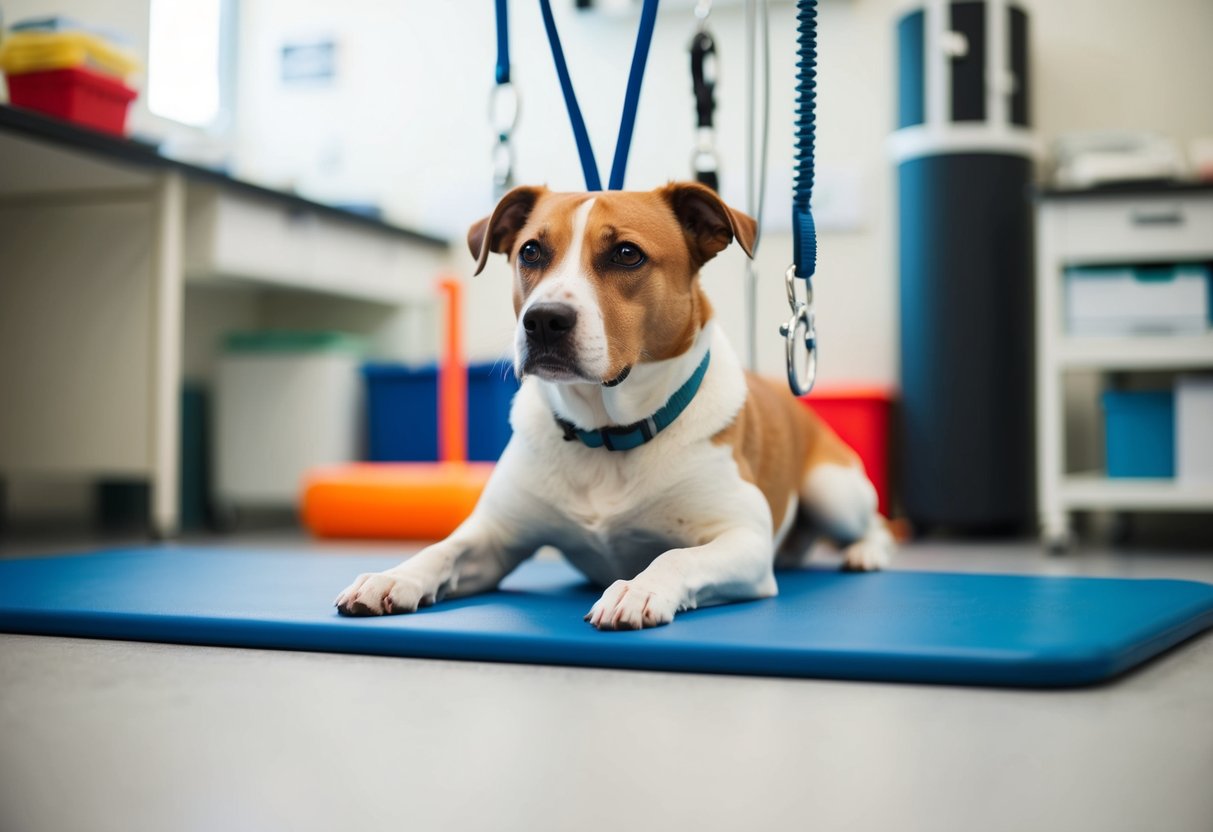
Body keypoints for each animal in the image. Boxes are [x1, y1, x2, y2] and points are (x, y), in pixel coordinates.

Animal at [337, 179, 897, 630]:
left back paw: (867, 552)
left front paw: (638, 587)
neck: (606, 431)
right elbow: (444, 549)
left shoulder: (745, 539)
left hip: (832, 490)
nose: (543, 320)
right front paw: (394, 576)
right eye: (530, 252)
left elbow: (675, 557)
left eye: (627, 254)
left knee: (876, 524)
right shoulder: (495, 537)